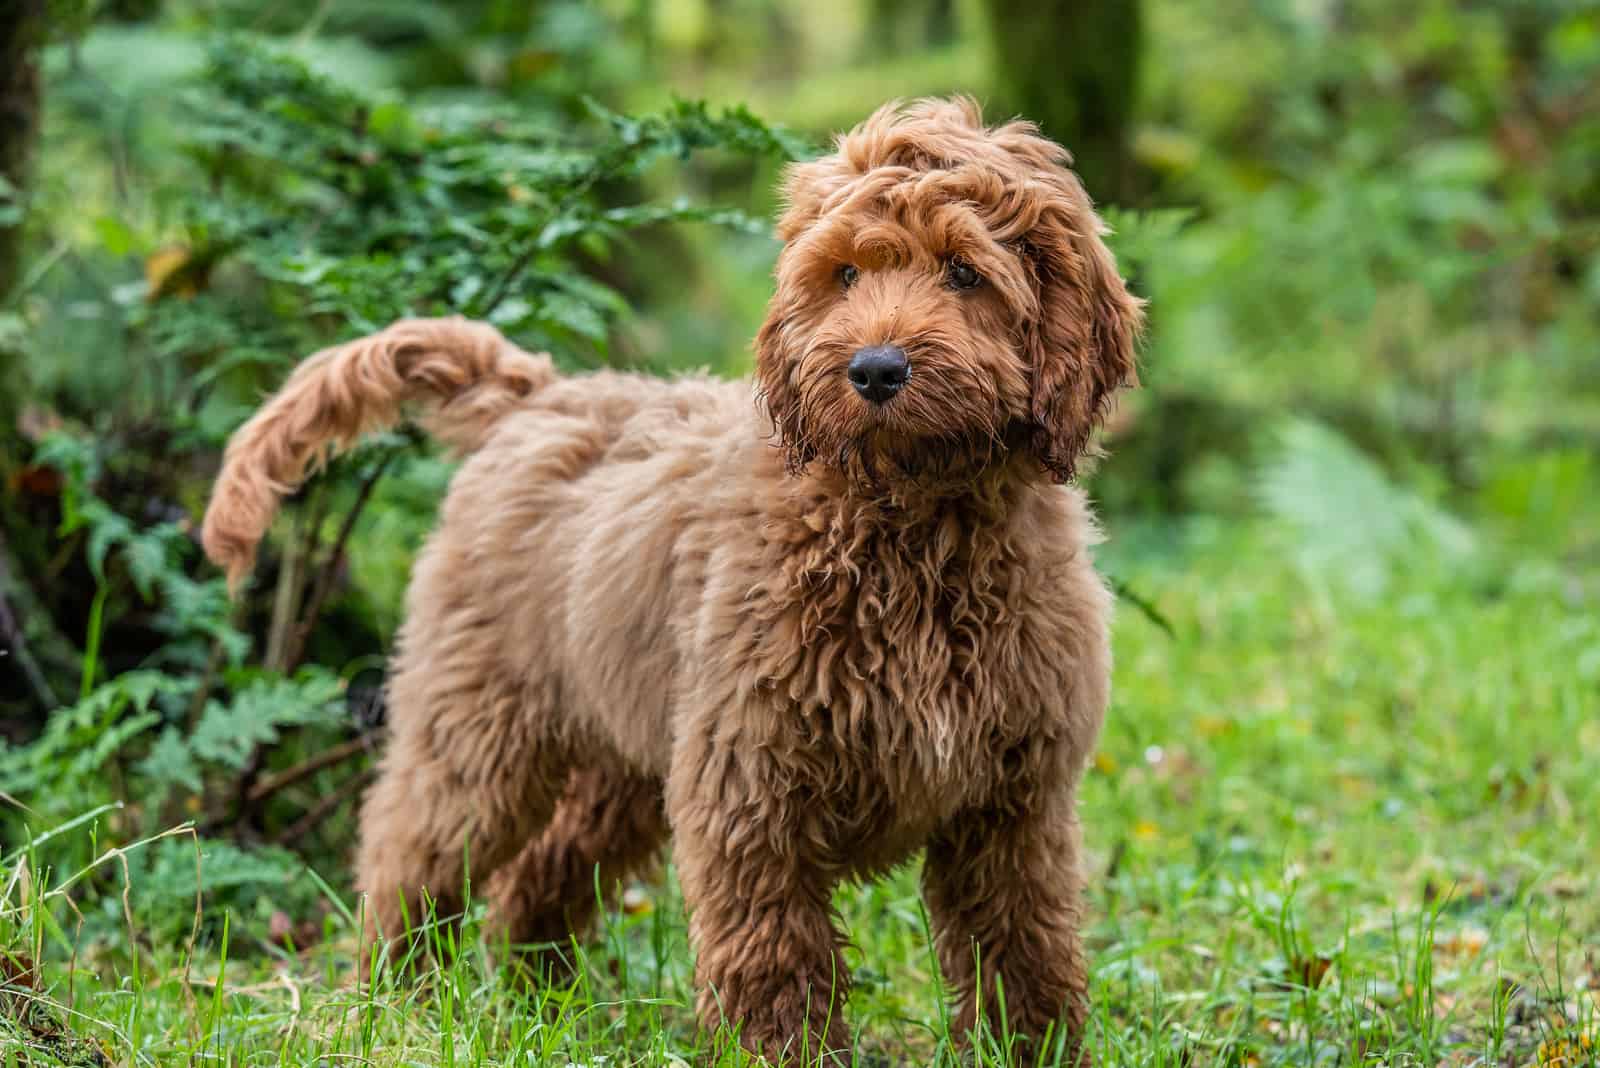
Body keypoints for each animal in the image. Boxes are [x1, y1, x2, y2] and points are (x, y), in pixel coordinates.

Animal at [203, 95, 1139, 1061]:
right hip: (479, 723)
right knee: (410, 851)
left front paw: (1036, 1050)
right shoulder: (750, 780)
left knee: (539, 874)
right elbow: (774, 952)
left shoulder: (1014, 802)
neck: (908, 524)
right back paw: (395, 1001)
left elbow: (1024, 946)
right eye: (844, 274)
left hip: (621, 747)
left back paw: (543, 1005)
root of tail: (539, 394)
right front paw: (784, 1054)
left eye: (964, 271)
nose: (875, 370)